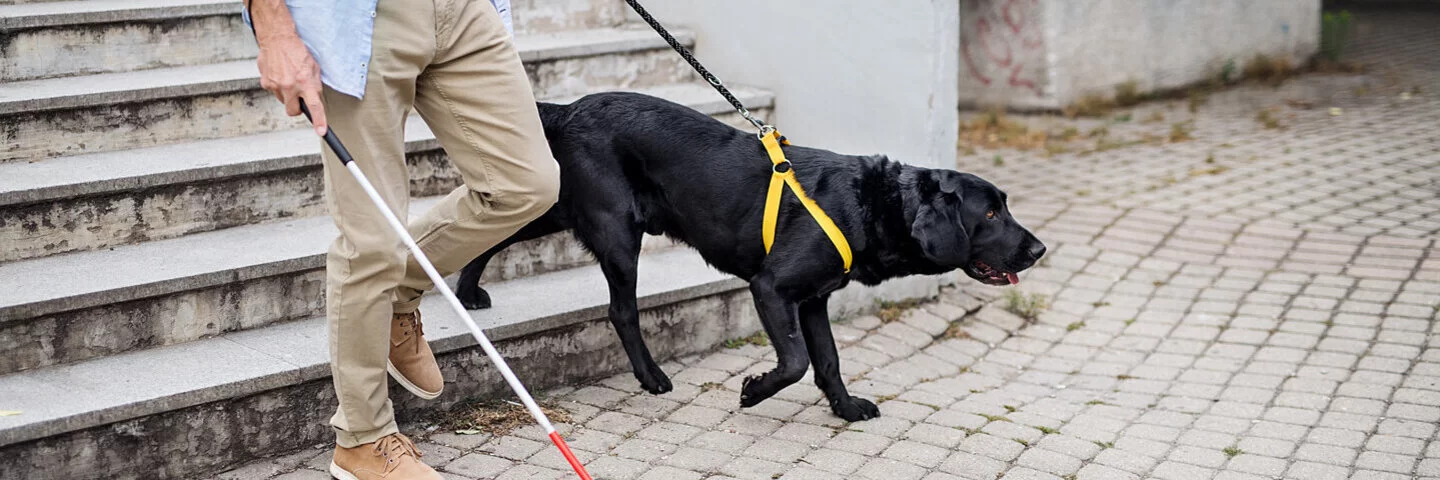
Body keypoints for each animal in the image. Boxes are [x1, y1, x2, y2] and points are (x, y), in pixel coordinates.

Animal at [455, 92, 1042, 418]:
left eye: (1004, 207)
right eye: (990, 214)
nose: (1038, 249)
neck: (872, 201)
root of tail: (569, 109)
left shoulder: (813, 300)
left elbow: (828, 360)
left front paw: (846, 408)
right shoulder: (772, 288)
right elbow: (796, 361)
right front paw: (754, 392)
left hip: (558, 205)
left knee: (498, 227)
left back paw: (464, 291)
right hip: (617, 232)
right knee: (620, 310)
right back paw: (651, 377)